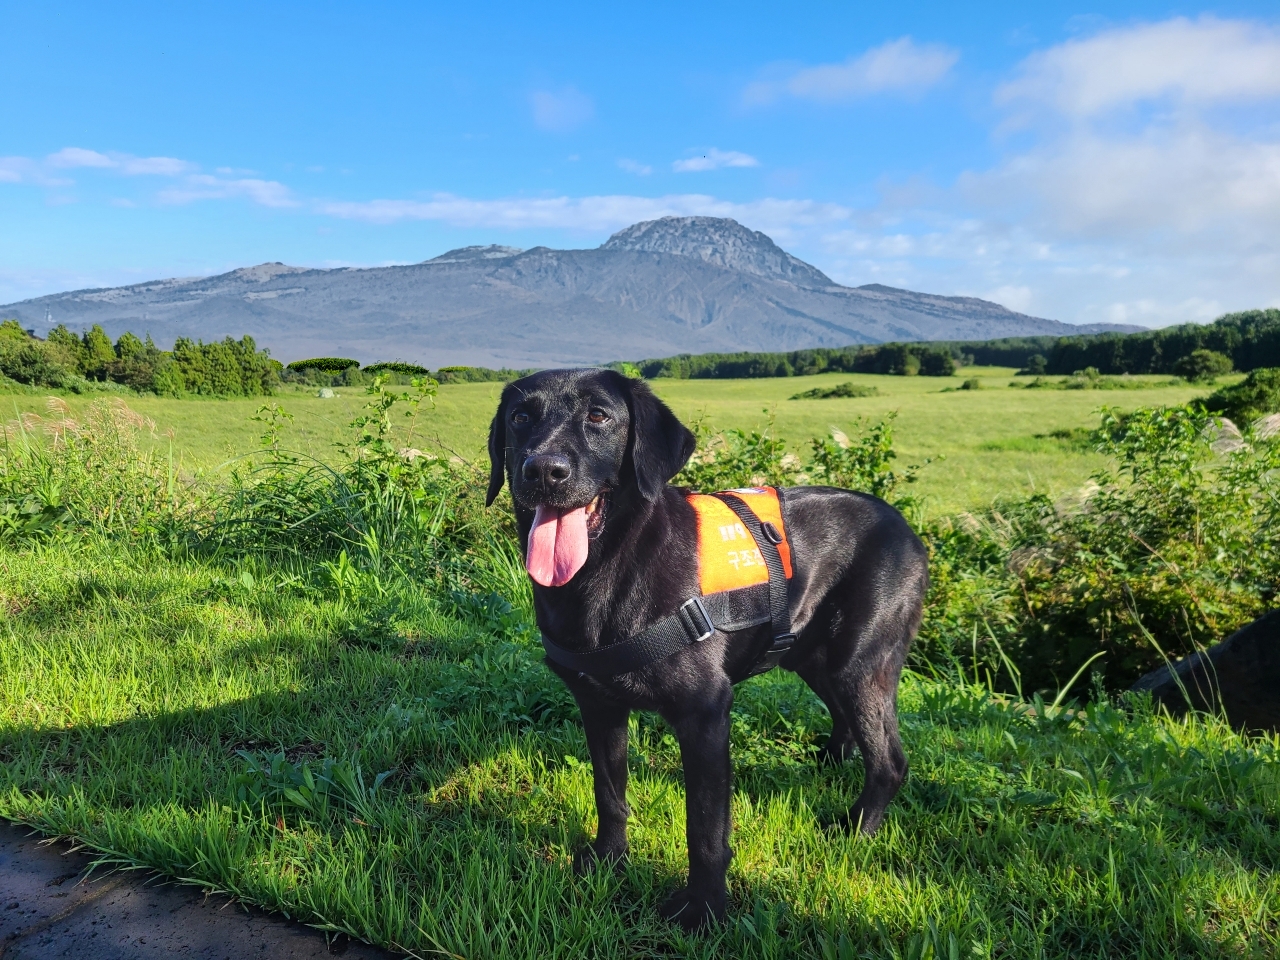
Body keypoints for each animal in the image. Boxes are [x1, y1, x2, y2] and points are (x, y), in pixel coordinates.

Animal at [483, 368, 926, 931]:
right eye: (520, 417)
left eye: (599, 416)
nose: (543, 470)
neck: (609, 569)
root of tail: (905, 526)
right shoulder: (598, 704)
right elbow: (610, 793)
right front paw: (609, 859)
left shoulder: (705, 714)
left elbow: (706, 831)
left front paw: (704, 911)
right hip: (816, 659)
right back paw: (830, 763)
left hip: (860, 663)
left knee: (889, 761)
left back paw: (856, 831)